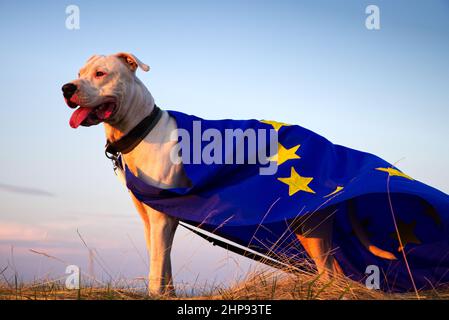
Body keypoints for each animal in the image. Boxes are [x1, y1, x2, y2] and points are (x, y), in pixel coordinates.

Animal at [62, 52, 392, 296]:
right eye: (79, 72)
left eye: (100, 74)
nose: (66, 88)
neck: (142, 128)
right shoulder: (150, 217)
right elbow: (162, 260)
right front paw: (166, 294)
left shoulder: (161, 217)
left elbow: (157, 264)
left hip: (313, 227)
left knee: (330, 273)